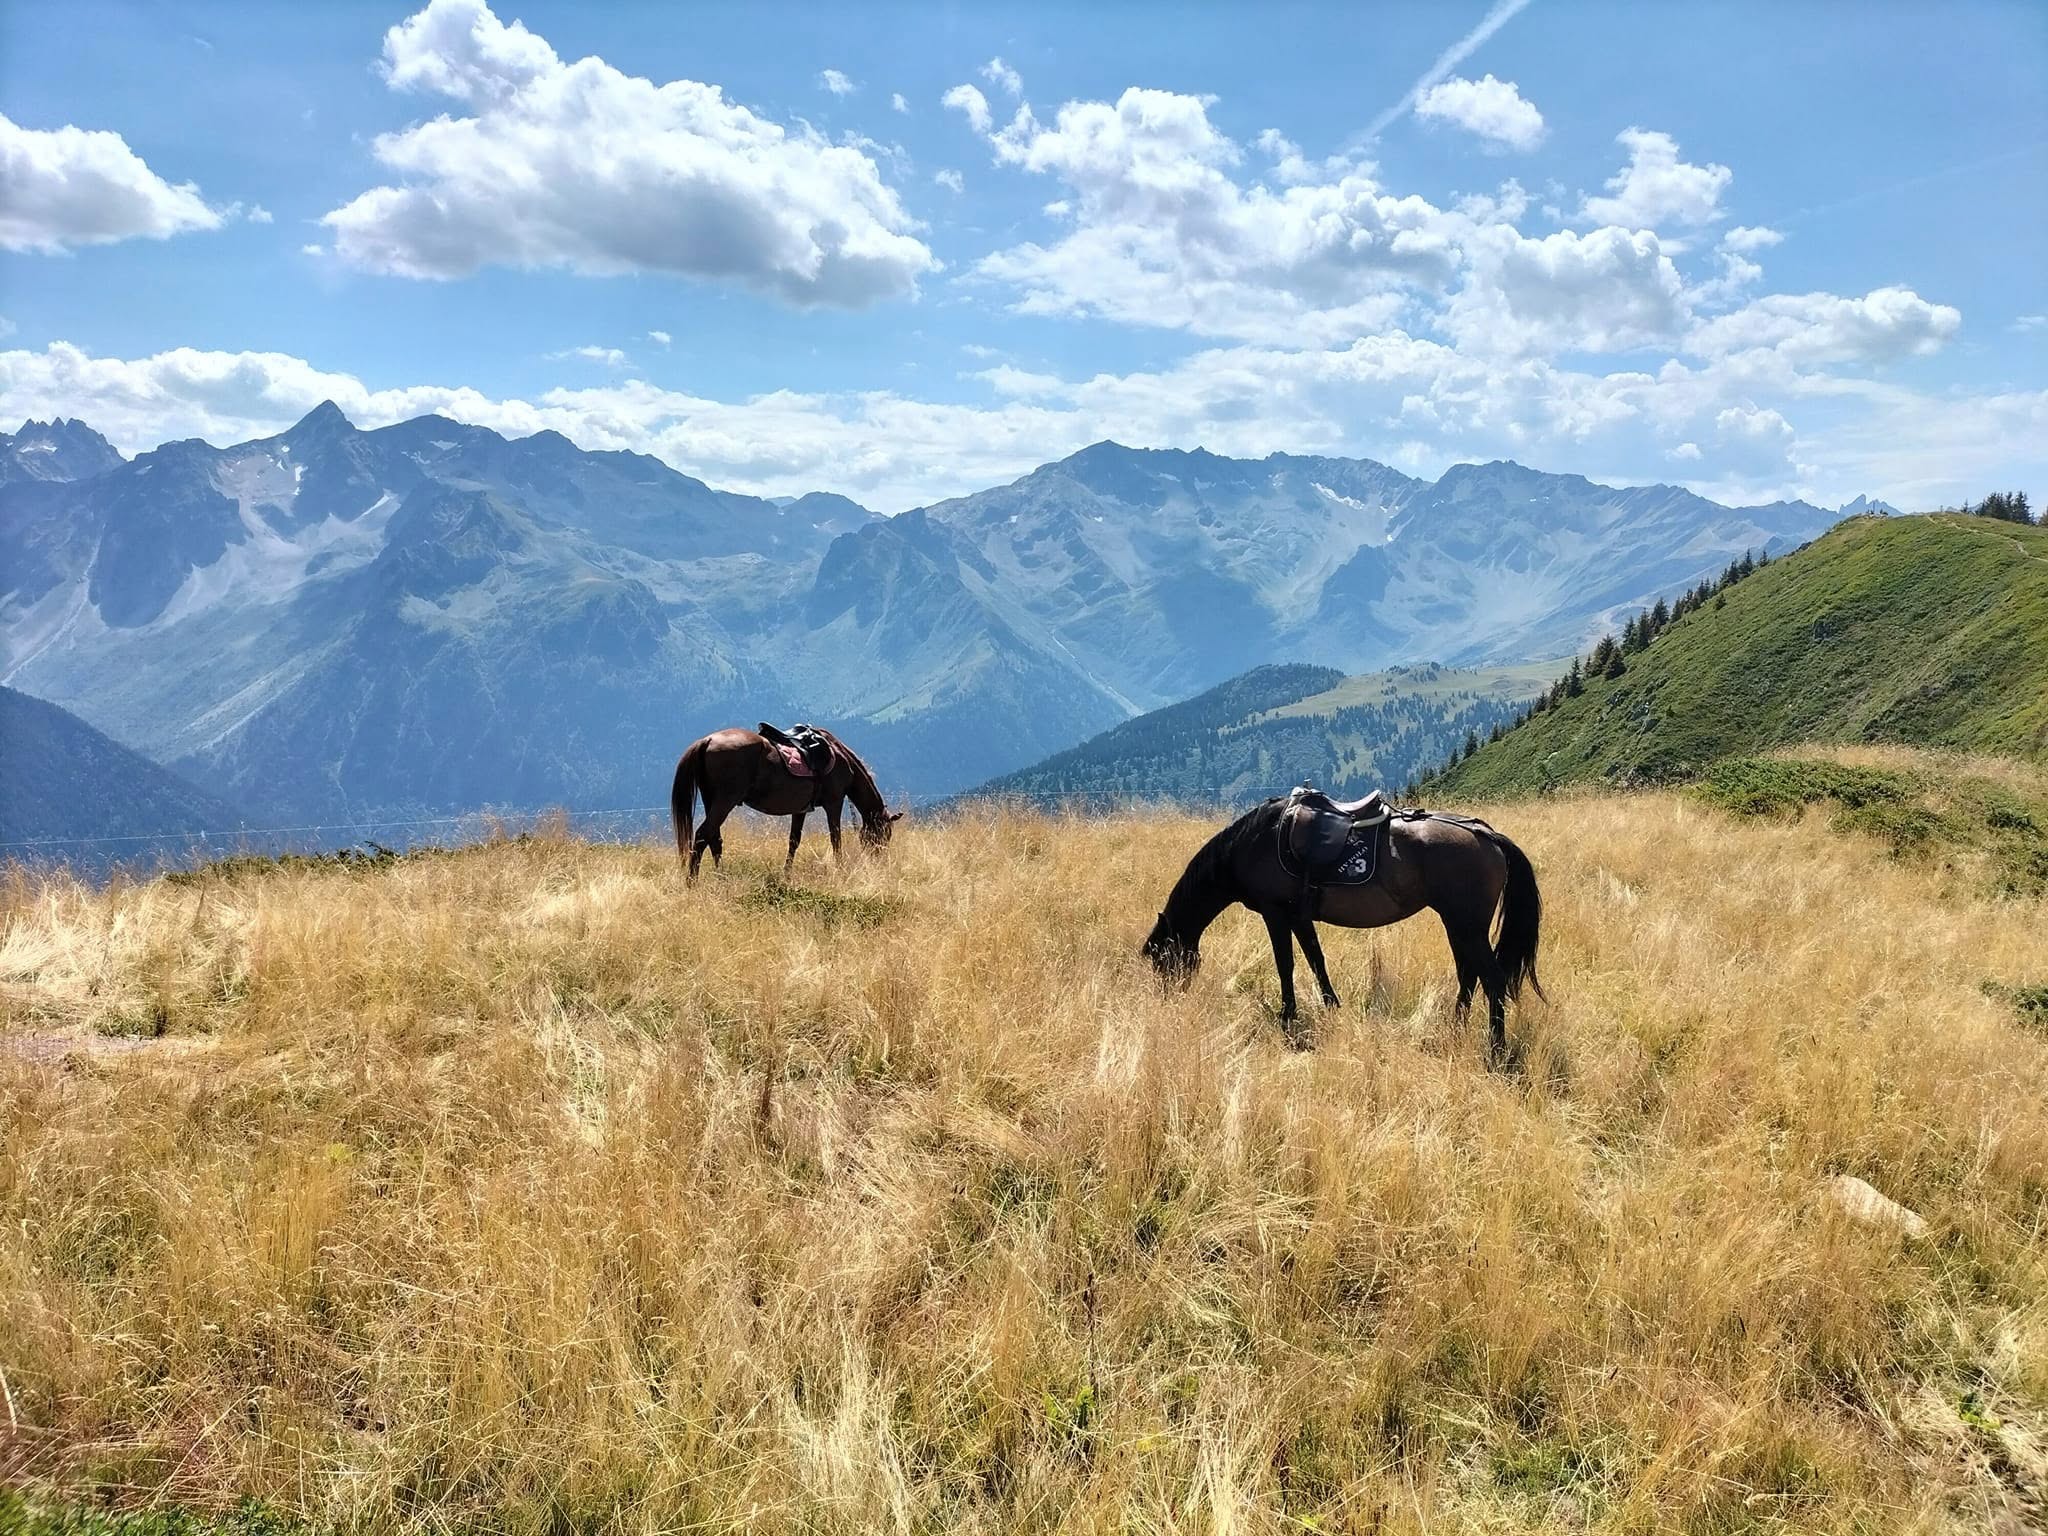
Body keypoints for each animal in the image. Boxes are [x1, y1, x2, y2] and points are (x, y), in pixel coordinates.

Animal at [671, 725, 902, 880]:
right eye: (884, 834)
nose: (879, 861)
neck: (839, 756)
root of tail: (707, 740)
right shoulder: (834, 802)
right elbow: (835, 839)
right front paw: (840, 869)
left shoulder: (800, 809)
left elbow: (794, 841)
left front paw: (786, 874)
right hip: (724, 801)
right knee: (703, 836)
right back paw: (692, 881)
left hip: (712, 800)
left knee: (714, 839)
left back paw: (722, 876)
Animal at [1142, 798, 1543, 1058]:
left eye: (1163, 960)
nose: (1166, 1003)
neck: (1252, 843)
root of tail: (1488, 835)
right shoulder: (1299, 917)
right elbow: (1315, 960)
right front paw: (1331, 1005)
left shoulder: (1275, 914)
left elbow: (1285, 965)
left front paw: (1288, 1018)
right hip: (1458, 923)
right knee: (1469, 975)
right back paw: (1455, 1030)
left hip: (1467, 924)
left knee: (1492, 979)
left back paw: (1495, 1050)